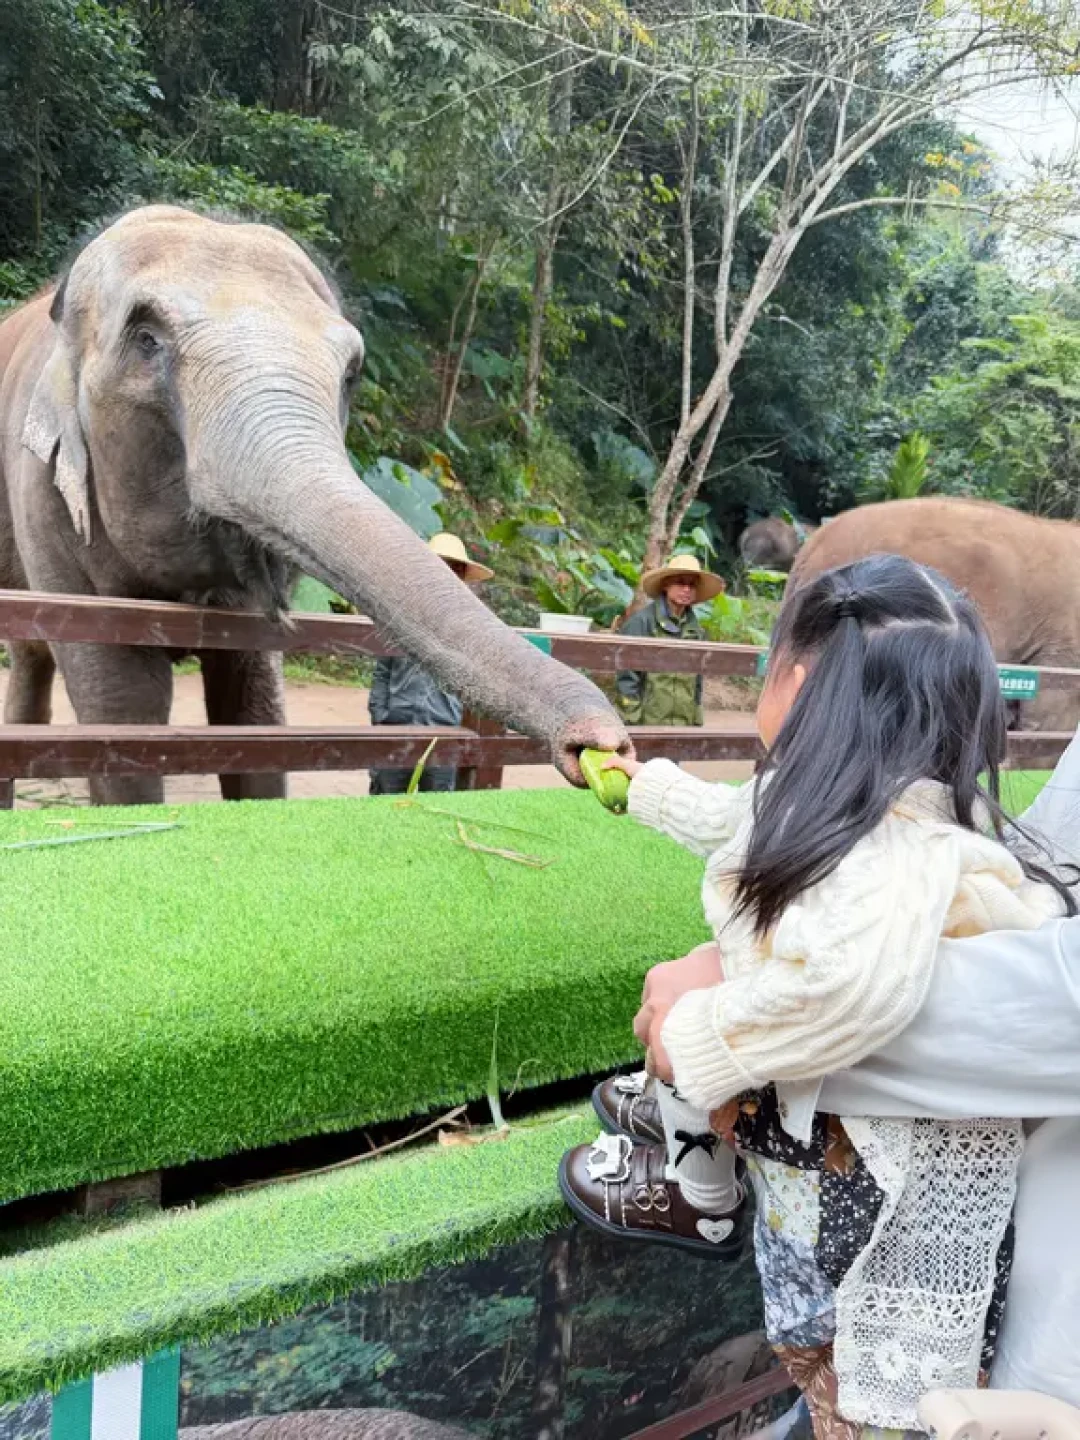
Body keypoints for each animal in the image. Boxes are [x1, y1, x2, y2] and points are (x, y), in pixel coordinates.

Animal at [0, 206, 628, 805]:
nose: (604, 744)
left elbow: (253, 709)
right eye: (146, 340)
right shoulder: (42, 501)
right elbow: (124, 706)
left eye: (351, 373)